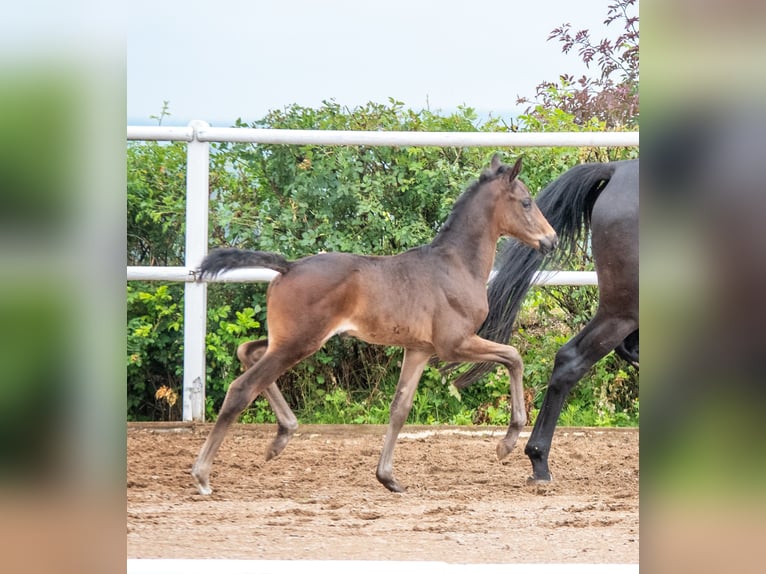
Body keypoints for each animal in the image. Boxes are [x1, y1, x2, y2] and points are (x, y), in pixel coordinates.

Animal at [192, 156, 560, 496]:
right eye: (526, 202)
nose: (552, 240)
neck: (456, 265)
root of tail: (288, 267)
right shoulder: (454, 343)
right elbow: (513, 356)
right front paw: (506, 443)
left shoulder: (419, 349)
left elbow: (400, 408)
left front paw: (388, 478)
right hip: (300, 341)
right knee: (242, 387)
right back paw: (203, 474)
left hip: (287, 338)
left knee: (247, 351)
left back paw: (282, 436)